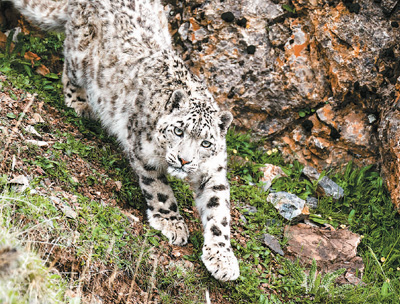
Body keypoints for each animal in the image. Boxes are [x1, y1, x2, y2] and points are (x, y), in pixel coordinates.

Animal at [7, 0, 239, 280]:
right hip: (80, 56)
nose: (184, 161)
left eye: (206, 143)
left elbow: (218, 211)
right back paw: (80, 104)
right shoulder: (144, 152)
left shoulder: (213, 172)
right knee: (69, 72)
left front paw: (223, 259)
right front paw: (172, 224)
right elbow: (159, 190)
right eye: (179, 131)